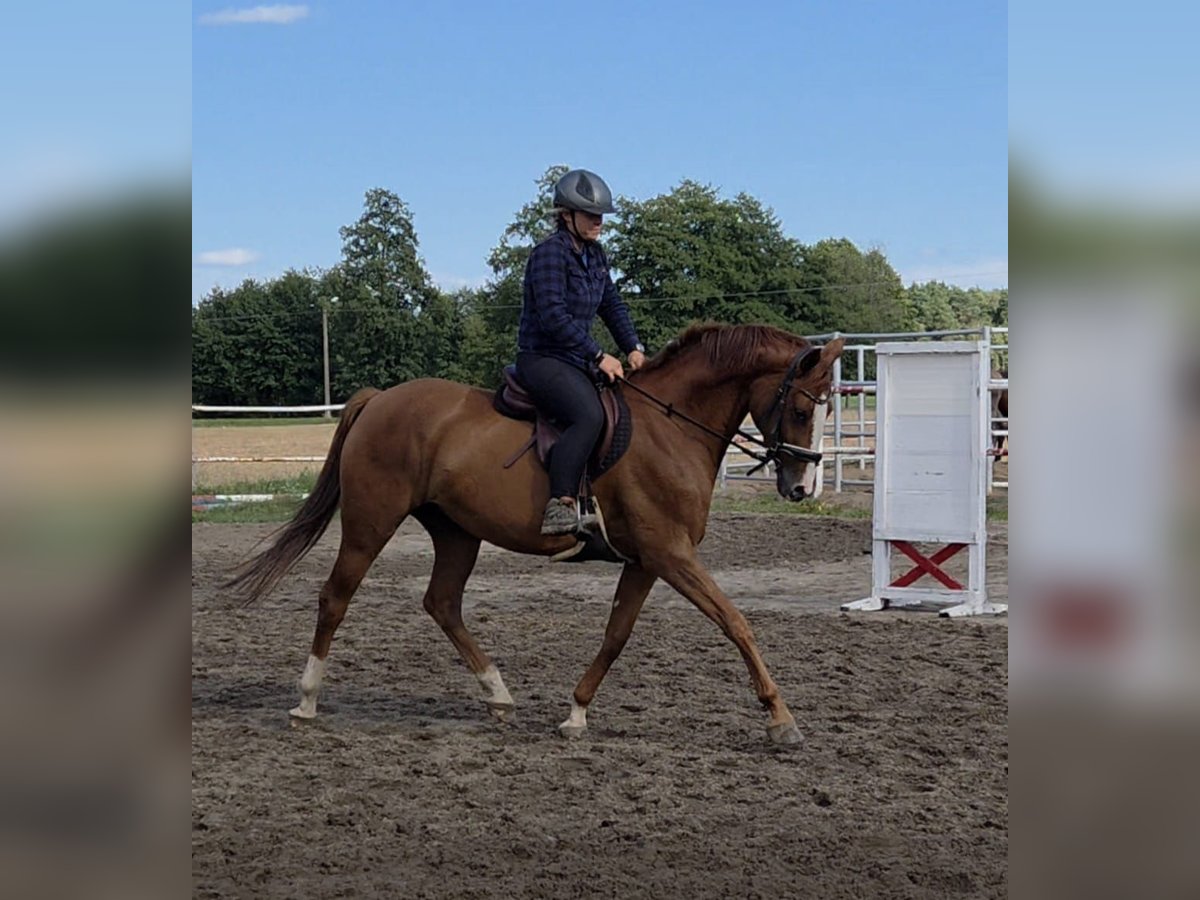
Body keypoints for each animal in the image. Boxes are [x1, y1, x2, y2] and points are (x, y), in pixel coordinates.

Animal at [227, 323, 845, 745]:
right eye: (799, 408)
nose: (801, 486)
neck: (670, 427)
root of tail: (379, 398)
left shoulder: (646, 560)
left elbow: (616, 635)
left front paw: (575, 713)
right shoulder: (670, 554)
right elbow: (736, 622)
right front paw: (781, 718)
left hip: (457, 532)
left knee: (442, 603)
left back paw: (498, 696)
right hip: (370, 523)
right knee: (336, 597)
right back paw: (306, 701)